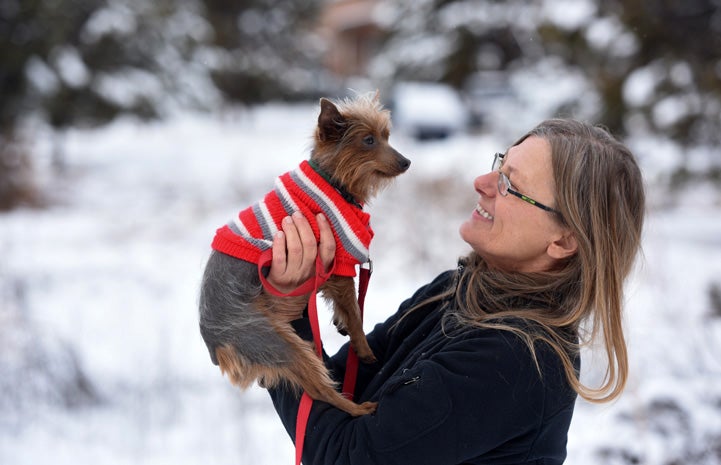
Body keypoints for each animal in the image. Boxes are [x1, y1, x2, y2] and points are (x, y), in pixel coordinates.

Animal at [197, 92, 410, 416]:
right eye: (368, 140)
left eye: (387, 136)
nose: (407, 161)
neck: (334, 182)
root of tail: (213, 341)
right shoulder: (340, 263)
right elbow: (355, 312)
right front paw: (364, 349)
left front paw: (340, 323)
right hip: (275, 342)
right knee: (319, 390)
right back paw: (358, 409)